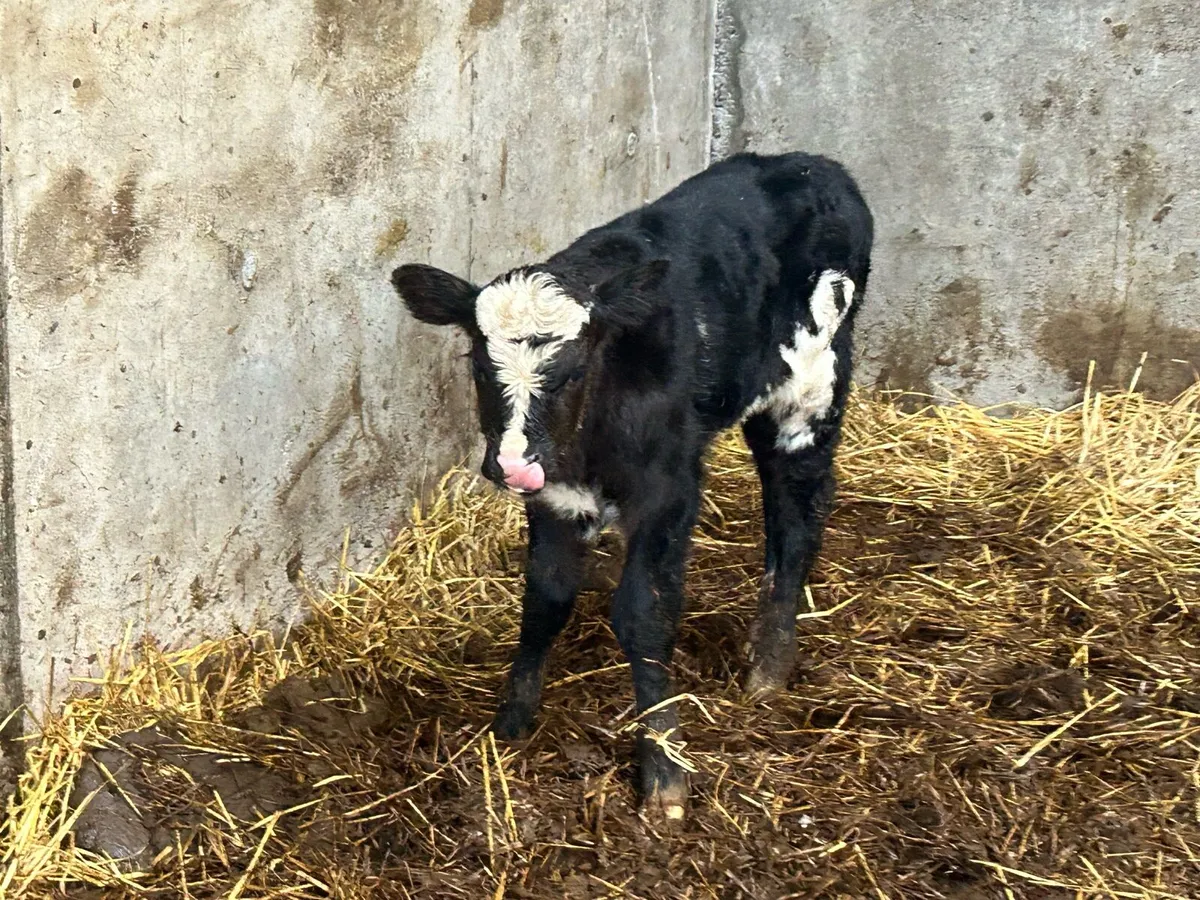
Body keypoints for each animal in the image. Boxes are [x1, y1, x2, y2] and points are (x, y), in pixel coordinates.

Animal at [391, 151, 873, 820]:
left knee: (798, 511)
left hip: (809, 388)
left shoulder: (668, 492)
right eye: (478, 365)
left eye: (571, 371)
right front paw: (511, 723)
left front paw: (664, 769)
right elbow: (545, 598)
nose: (511, 464)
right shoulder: (556, 497)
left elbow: (645, 612)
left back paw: (770, 663)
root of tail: (812, 164)